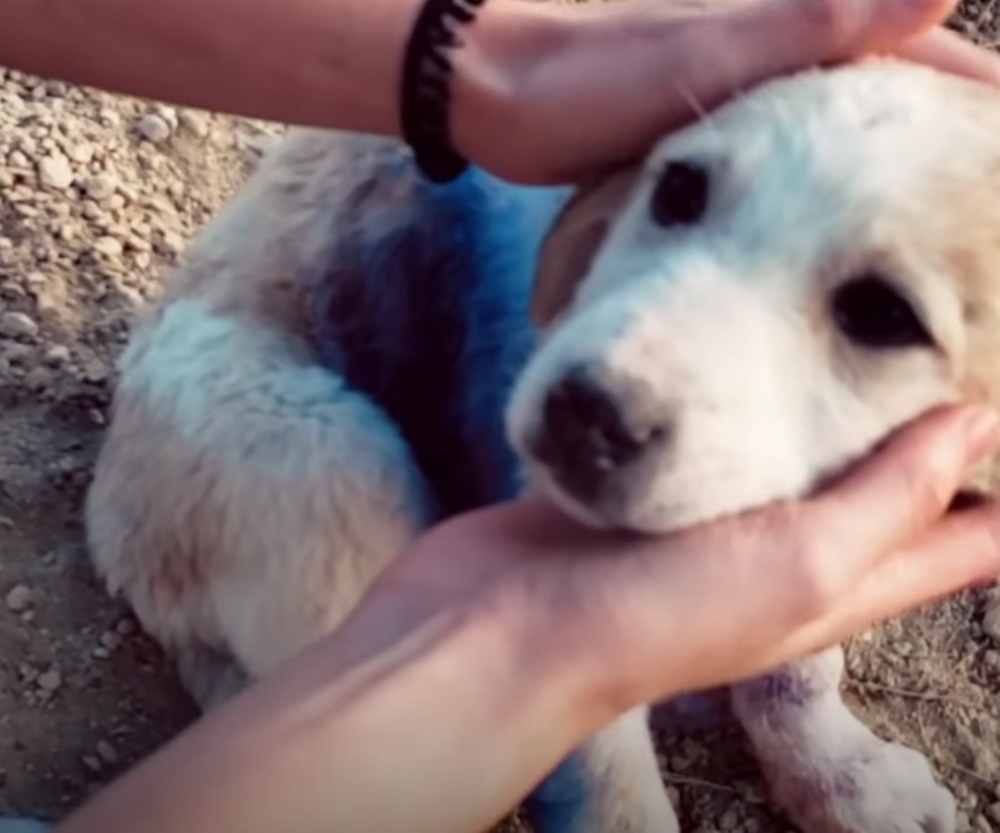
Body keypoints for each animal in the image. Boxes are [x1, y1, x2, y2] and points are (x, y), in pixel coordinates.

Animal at [9, 58, 1000, 833]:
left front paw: (843, 775)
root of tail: (115, 526)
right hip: (329, 456)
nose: (584, 413)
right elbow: (613, 783)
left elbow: (799, 665)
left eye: (883, 316)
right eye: (678, 190)